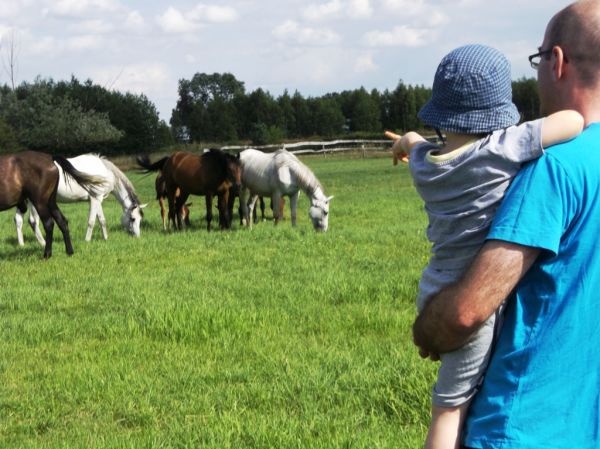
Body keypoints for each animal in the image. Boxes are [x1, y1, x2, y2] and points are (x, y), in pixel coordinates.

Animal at [15, 154, 147, 245]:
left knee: (18, 220)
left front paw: (105, 238)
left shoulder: (98, 199)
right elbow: (92, 221)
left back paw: (21, 244)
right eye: (133, 218)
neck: (106, 172)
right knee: (33, 221)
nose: (137, 236)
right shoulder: (95, 198)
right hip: (35, 202)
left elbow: (102, 220)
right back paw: (42, 243)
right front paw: (87, 240)